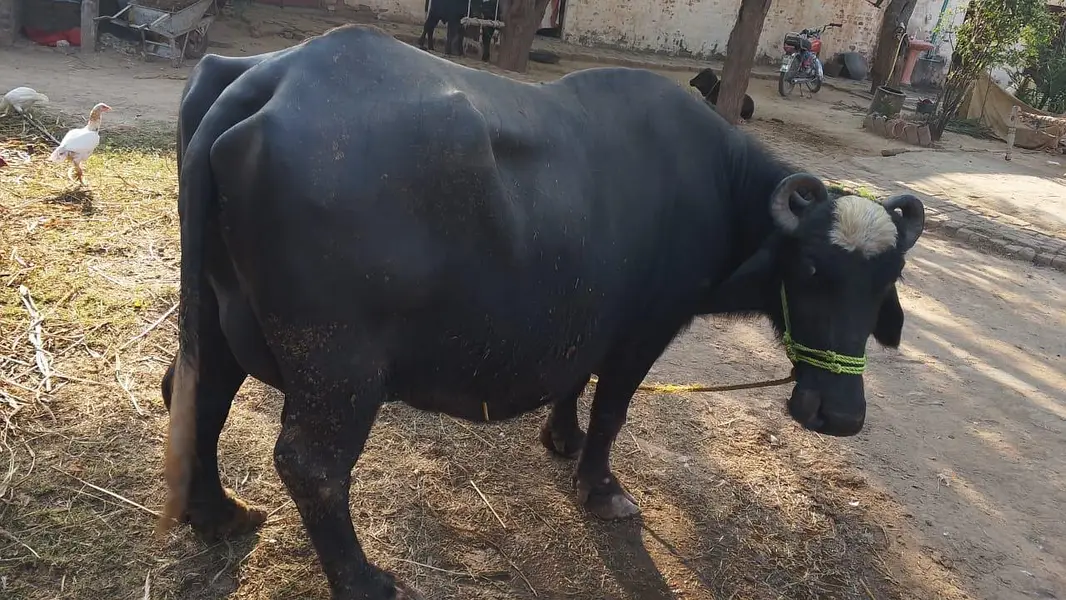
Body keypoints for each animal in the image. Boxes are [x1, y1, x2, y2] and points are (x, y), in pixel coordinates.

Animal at [160, 25, 924, 600]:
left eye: (886, 279)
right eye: (813, 270)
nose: (840, 415)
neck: (718, 187)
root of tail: (267, 81)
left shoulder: (590, 317)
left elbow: (575, 379)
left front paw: (562, 436)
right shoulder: (645, 328)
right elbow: (614, 408)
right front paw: (601, 486)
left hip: (214, 314)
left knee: (194, 396)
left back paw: (219, 514)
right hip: (338, 365)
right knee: (311, 464)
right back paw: (365, 581)